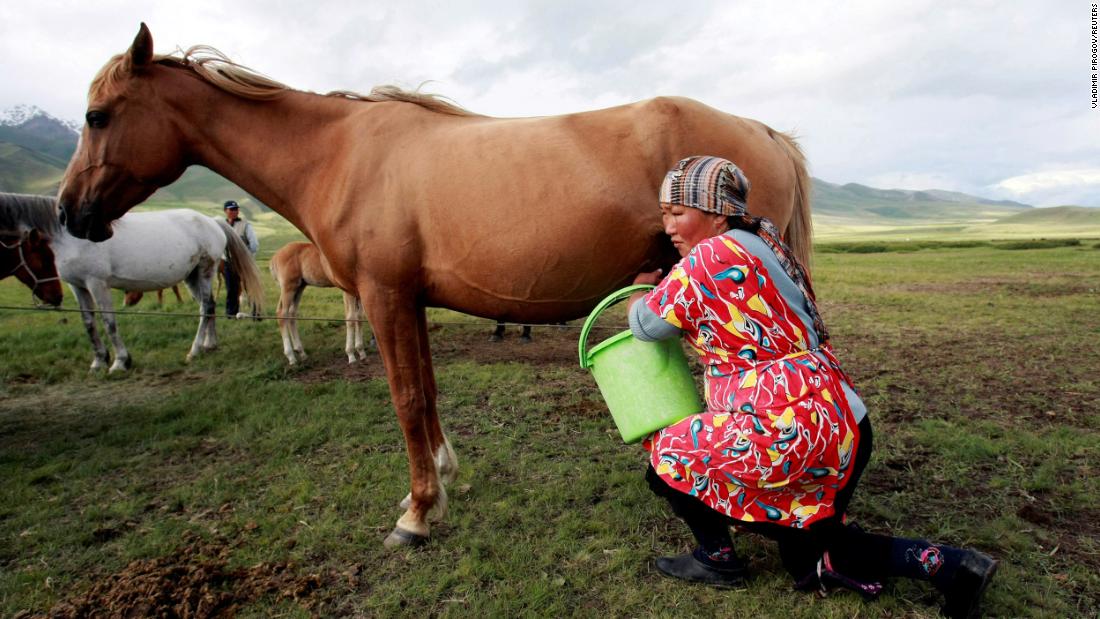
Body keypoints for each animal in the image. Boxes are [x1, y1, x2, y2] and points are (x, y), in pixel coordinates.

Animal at [52, 207, 265, 373]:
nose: (126, 304)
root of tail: (212, 221)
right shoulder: (77, 285)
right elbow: (88, 322)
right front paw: (98, 361)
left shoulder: (96, 282)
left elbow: (108, 322)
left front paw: (120, 362)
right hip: (193, 275)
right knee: (210, 305)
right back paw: (209, 344)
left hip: (206, 269)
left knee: (205, 307)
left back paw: (194, 350)